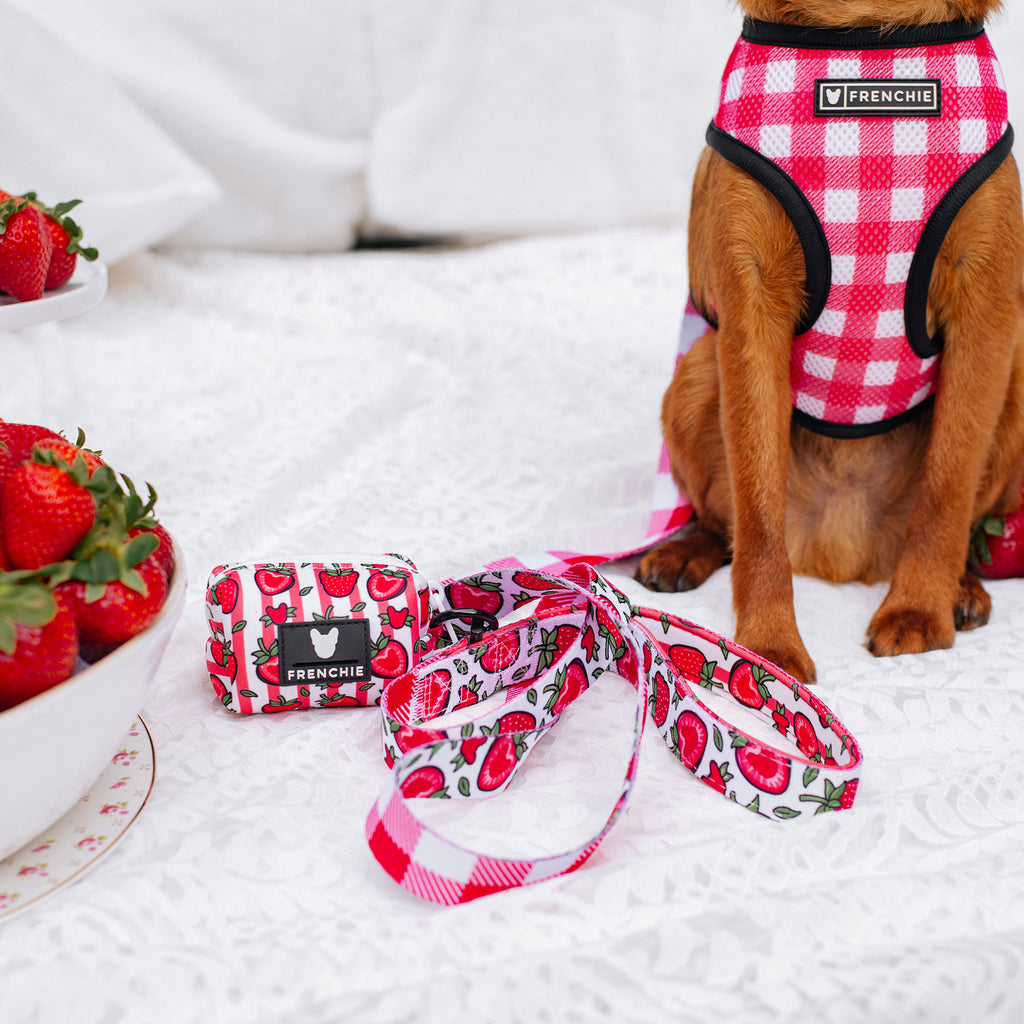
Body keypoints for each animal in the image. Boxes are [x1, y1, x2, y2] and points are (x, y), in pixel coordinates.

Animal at [636, 0, 1024, 684]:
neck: (861, 38)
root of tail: (843, 549)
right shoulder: (750, 322)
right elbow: (758, 509)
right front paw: (767, 650)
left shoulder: (989, 320)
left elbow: (948, 486)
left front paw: (919, 610)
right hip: (698, 370)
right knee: (725, 521)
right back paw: (683, 550)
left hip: (1016, 379)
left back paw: (961, 589)